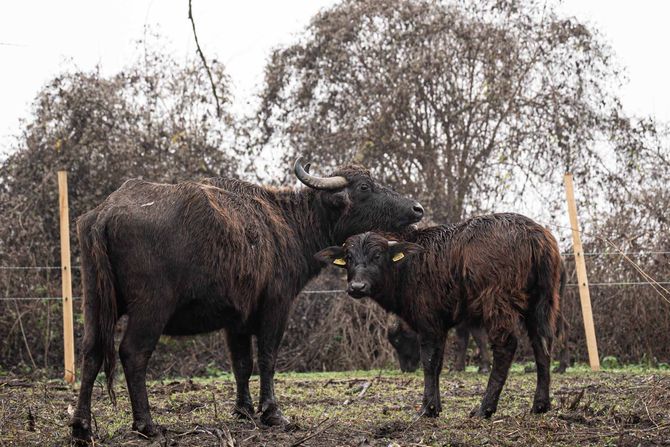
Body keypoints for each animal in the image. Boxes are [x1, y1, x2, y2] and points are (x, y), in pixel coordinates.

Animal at [69, 159, 426, 442]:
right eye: (365, 187)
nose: (417, 208)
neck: (287, 224)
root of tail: (105, 212)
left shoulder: (235, 318)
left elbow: (241, 363)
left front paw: (243, 409)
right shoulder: (276, 305)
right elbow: (267, 357)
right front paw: (272, 412)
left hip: (94, 301)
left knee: (91, 352)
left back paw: (81, 427)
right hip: (150, 307)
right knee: (133, 353)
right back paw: (146, 424)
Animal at [318, 215, 564, 418]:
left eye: (377, 255)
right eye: (349, 257)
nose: (357, 287)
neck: (409, 264)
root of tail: (533, 234)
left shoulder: (428, 322)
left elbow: (429, 361)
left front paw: (427, 409)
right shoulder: (441, 325)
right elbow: (438, 364)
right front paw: (436, 407)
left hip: (497, 303)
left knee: (506, 346)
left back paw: (485, 408)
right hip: (543, 302)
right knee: (543, 343)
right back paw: (540, 405)